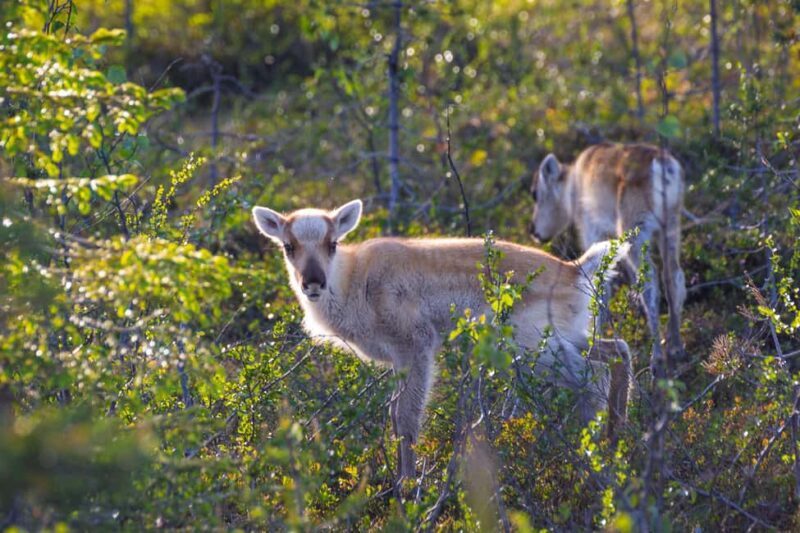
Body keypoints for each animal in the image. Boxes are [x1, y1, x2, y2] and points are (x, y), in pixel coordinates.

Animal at [252, 199, 632, 481]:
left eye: (332, 244)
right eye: (288, 246)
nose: (313, 283)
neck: (353, 281)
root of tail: (577, 269)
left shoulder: (417, 346)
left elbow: (407, 419)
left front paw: (406, 490)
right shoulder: (398, 361)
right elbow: (394, 415)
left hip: (529, 349)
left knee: (592, 379)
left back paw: (589, 457)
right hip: (569, 336)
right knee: (619, 350)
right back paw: (611, 443)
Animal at [529, 142, 686, 362]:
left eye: (535, 193)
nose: (534, 230)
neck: (572, 187)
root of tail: (662, 166)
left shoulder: (592, 232)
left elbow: (601, 287)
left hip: (635, 230)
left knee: (650, 284)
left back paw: (656, 357)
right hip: (671, 224)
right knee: (673, 277)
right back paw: (676, 346)